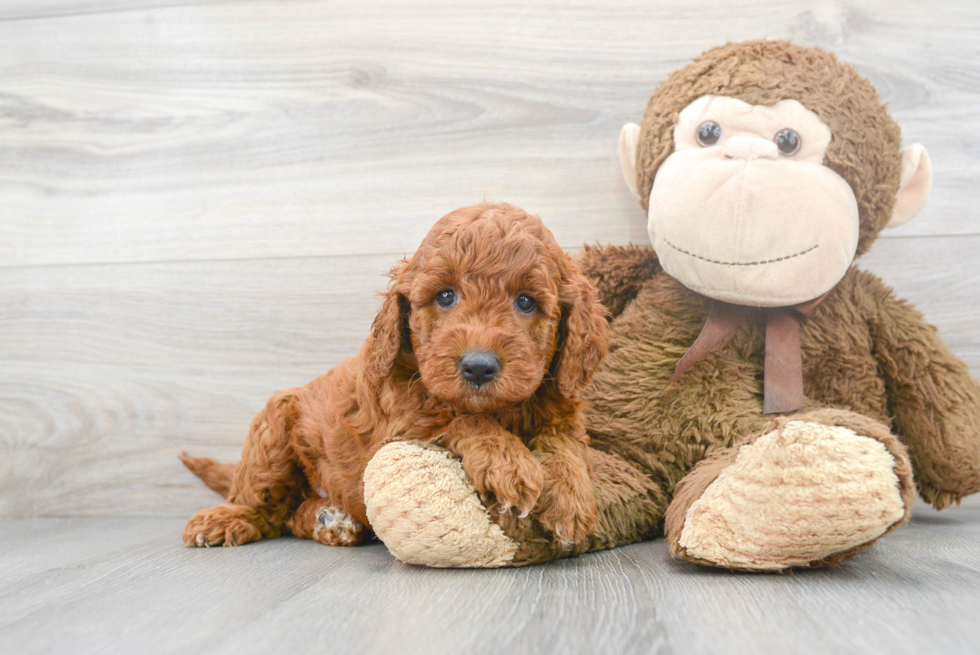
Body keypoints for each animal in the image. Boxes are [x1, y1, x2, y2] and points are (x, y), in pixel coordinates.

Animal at [182, 204, 604, 548]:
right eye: (446, 296)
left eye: (526, 302)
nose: (478, 366)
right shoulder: (398, 427)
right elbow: (458, 418)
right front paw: (507, 463)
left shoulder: (562, 409)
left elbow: (562, 443)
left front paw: (571, 499)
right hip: (273, 427)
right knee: (265, 506)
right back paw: (228, 519)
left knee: (291, 515)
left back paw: (329, 520)